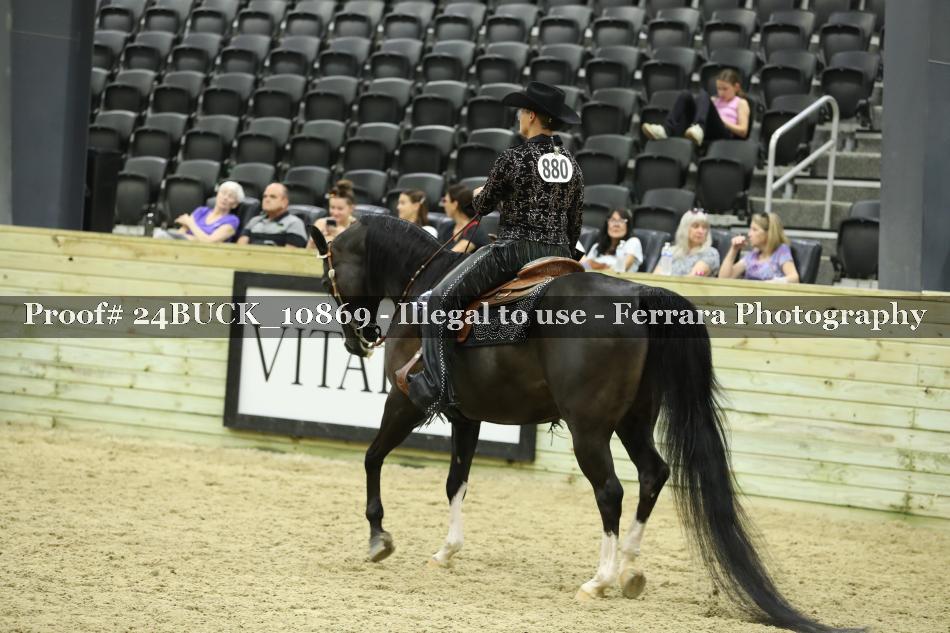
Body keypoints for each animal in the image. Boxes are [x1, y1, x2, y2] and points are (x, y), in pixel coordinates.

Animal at [309, 216, 862, 633]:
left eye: (325, 277)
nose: (358, 339)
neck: (424, 287)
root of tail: (639, 295)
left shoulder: (404, 401)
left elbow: (373, 457)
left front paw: (379, 538)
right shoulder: (469, 417)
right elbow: (455, 482)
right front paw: (446, 552)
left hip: (590, 431)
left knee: (611, 491)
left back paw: (599, 579)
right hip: (634, 421)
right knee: (654, 474)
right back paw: (630, 569)